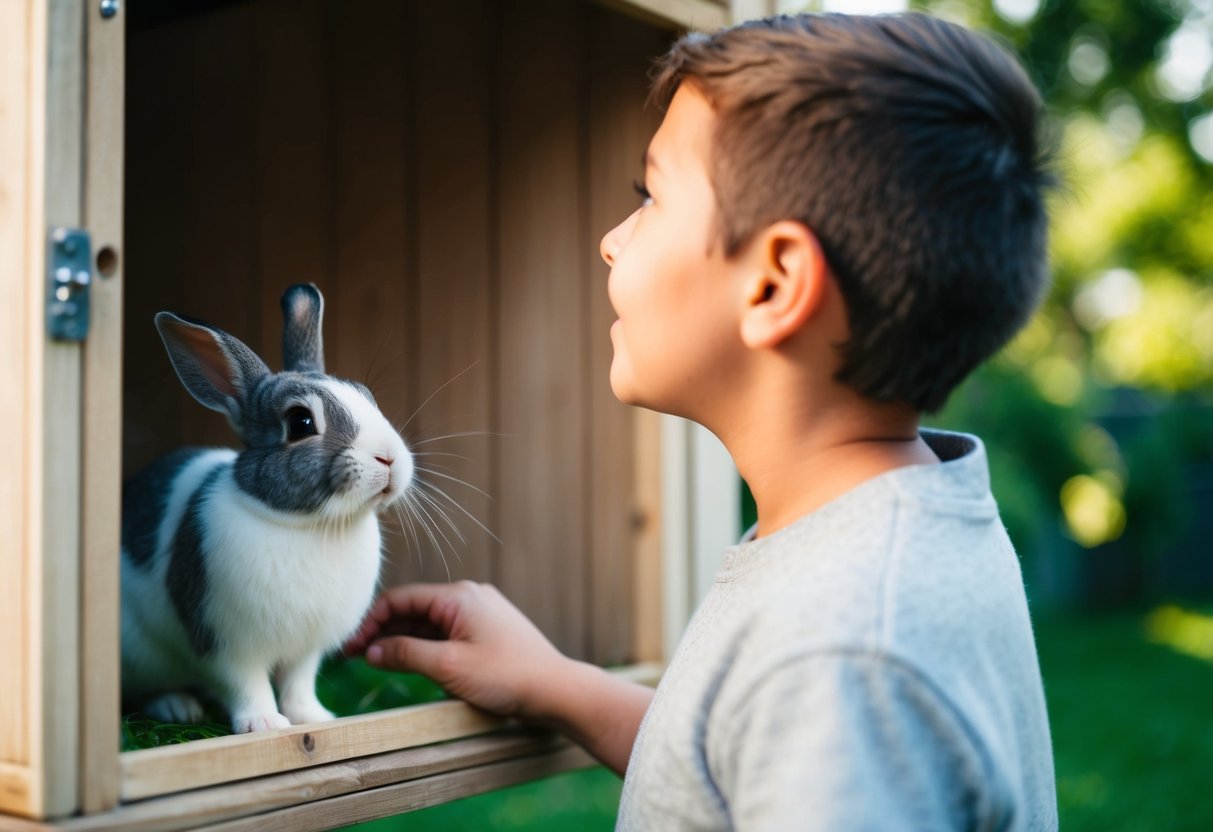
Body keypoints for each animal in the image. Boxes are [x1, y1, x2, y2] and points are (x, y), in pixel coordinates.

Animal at [120, 283, 413, 733]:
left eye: (368, 398)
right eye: (301, 423)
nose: (389, 458)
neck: (305, 525)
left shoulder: (306, 649)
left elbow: (298, 682)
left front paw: (315, 718)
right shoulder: (226, 643)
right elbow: (246, 683)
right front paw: (265, 724)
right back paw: (177, 707)